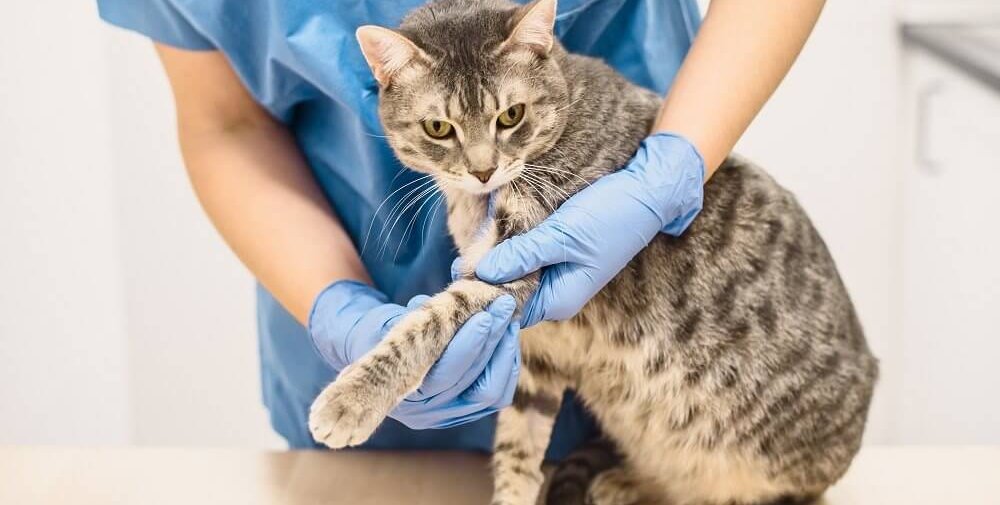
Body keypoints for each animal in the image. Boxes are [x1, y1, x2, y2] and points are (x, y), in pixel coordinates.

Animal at [308, 0, 880, 504]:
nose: (483, 170)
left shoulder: (515, 263)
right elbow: (518, 450)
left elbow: (429, 324)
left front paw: (350, 399)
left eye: (511, 115)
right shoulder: (537, 357)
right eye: (438, 128)